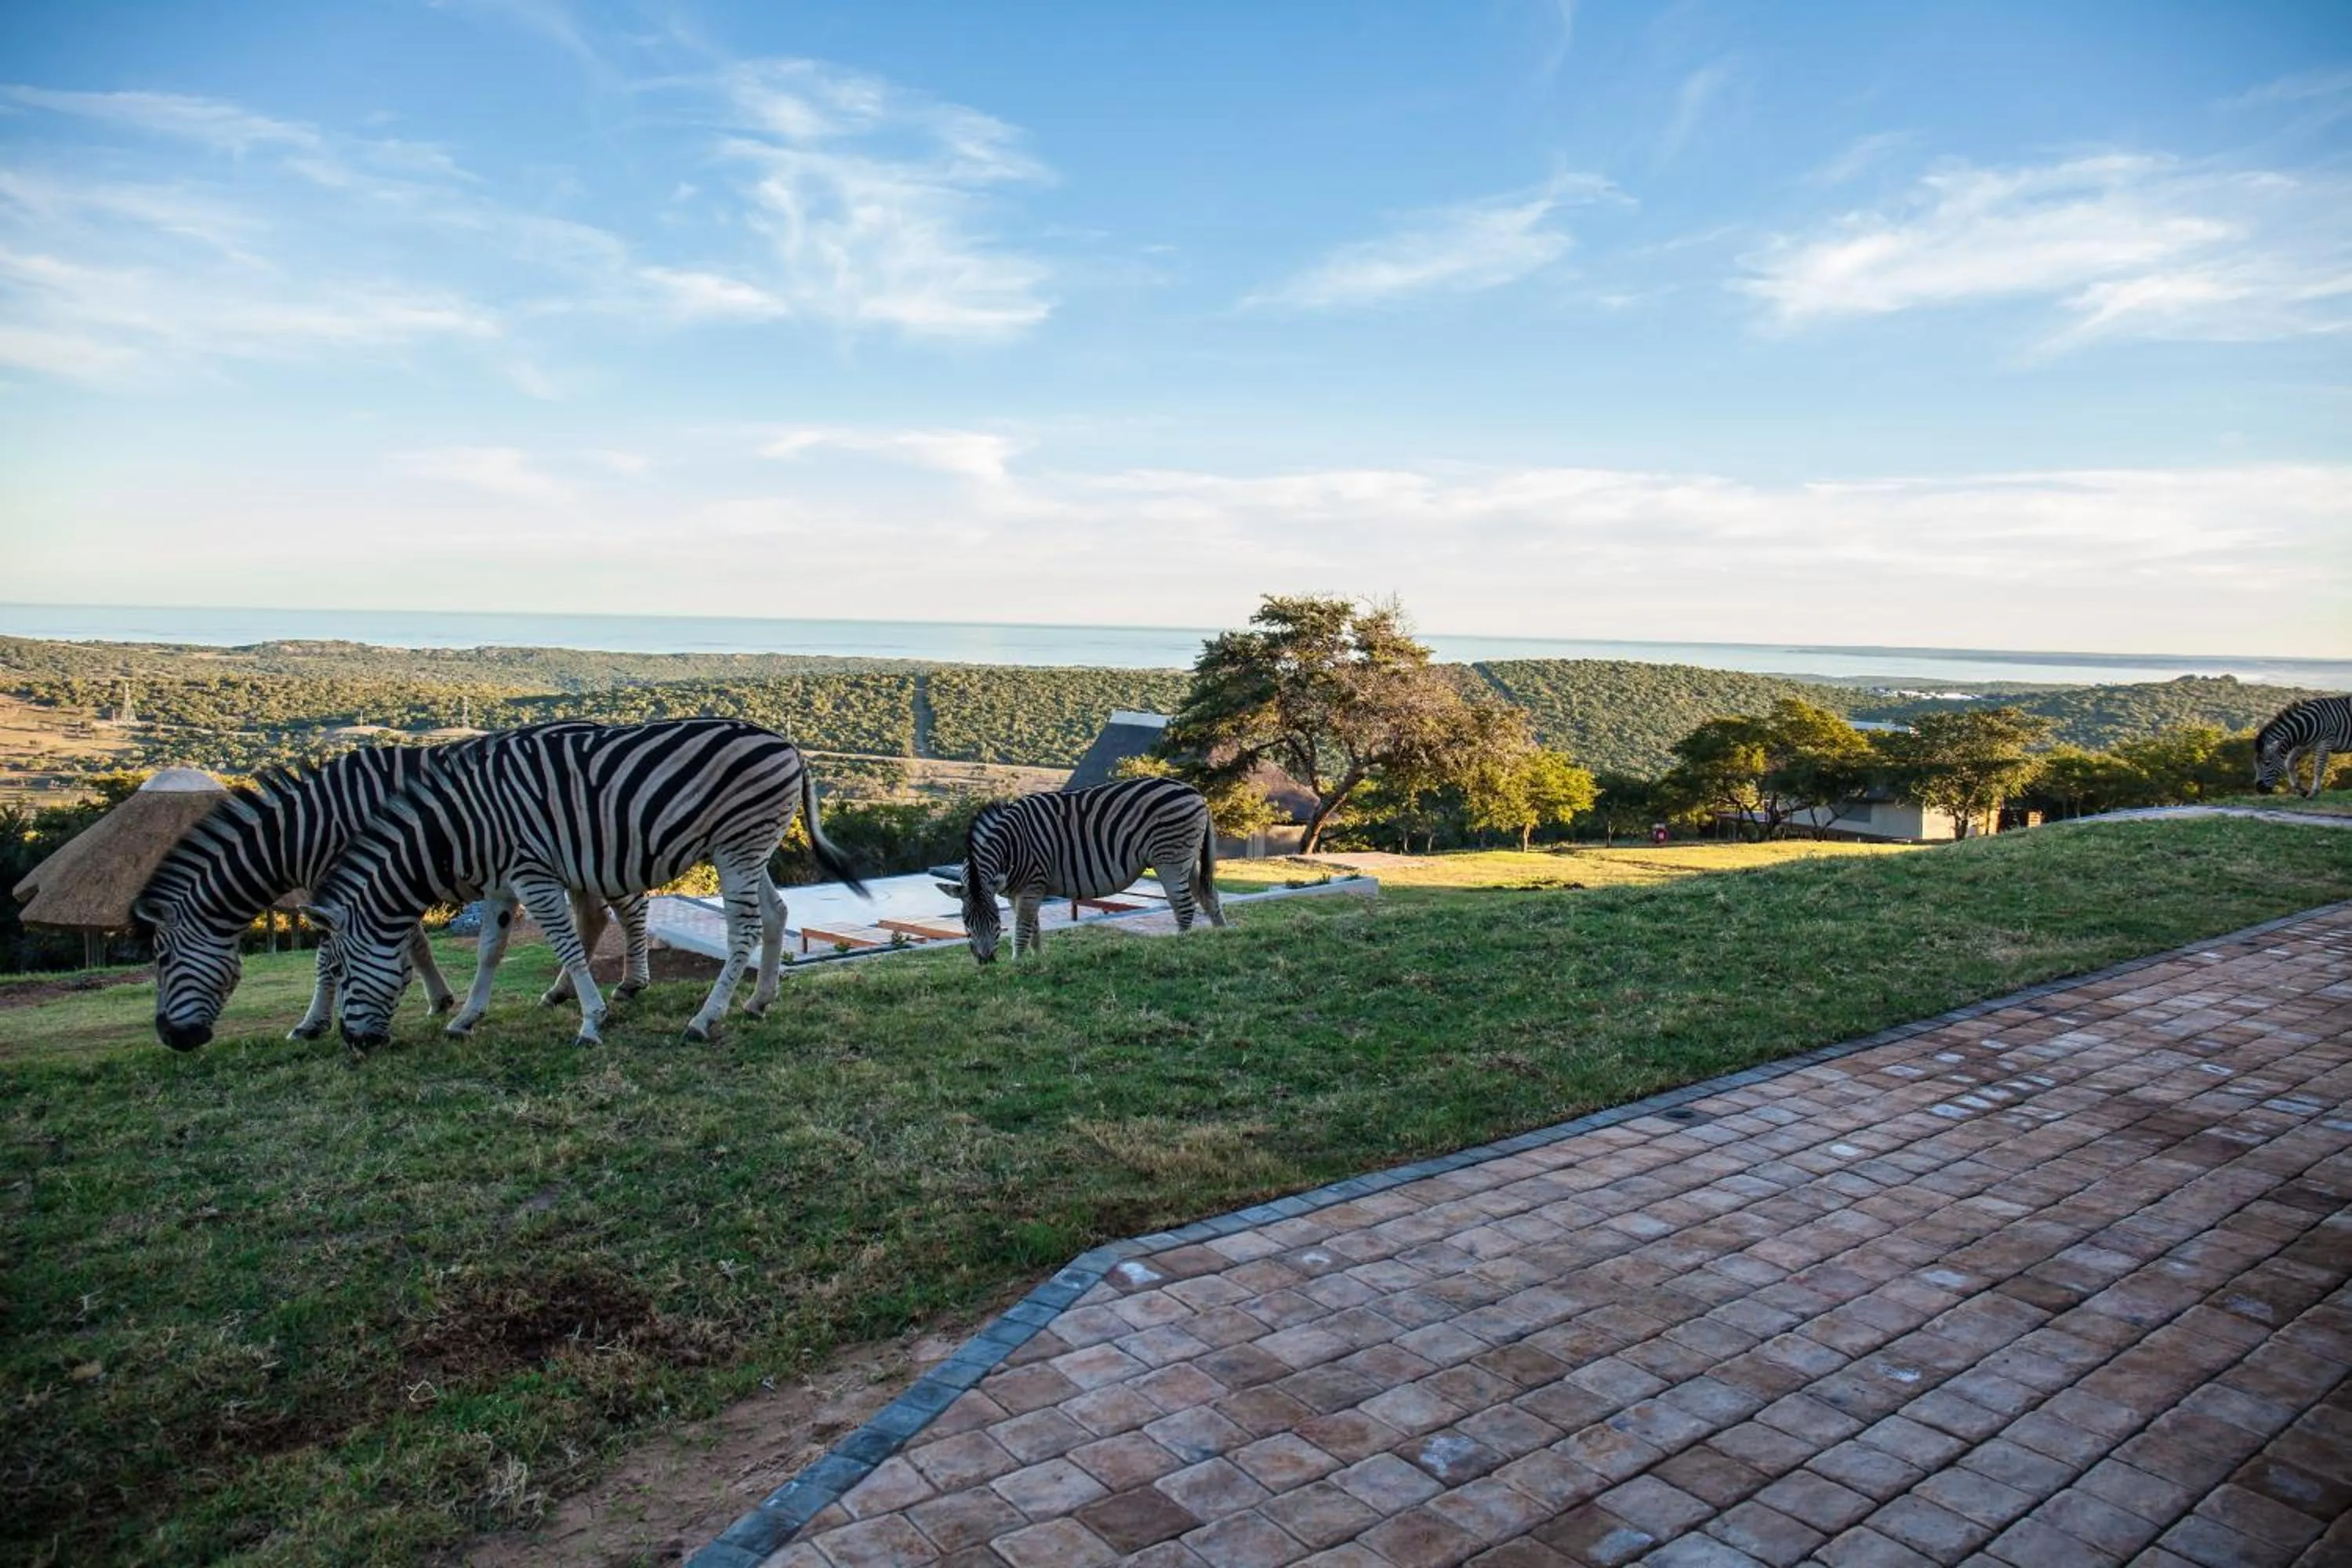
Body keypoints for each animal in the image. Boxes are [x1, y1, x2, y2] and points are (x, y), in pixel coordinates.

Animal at [133, 730, 651, 1051]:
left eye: (162, 959)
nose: (170, 1038)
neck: (309, 827)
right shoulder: (371, 886)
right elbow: (412, 943)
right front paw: (438, 999)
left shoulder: (346, 884)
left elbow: (328, 959)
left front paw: (313, 1022)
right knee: (594, 915)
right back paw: (561, 991)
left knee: (628, 906)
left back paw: (630, 983)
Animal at [304, 717, 863, 1050]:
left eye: (345, 973)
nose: (355, 1043)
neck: (462, 825)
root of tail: (788, 745)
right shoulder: (501, 886)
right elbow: (489, 950)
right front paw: (465, 1018)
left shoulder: (533, 874)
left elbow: (568, 947)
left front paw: (592, 1021)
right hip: (749, 848)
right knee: (775, 914)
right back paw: (758, 1001)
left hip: (738, 846)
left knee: (743, 929)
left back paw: (705, 1019)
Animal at [936, 777, 1225, 965]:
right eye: (966, 922)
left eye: (995, 920)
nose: (986, 962)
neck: (1010, 847)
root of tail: (1195, 793)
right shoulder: (1019, 891)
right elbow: (1033, 928)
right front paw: (1037, 960)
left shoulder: (1032, 885)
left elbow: (1022, 928)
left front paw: (1018, 964)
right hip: (1186, 859)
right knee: (1209, 897)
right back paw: (1222, 935)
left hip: (1170, 858)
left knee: (1184, 905)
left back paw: (1180, 947)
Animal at [2254, 695, 2352, 798]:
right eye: (2255, 765)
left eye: (2267, 763)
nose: (2259, 789)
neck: (2307, 725)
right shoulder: (2303, 746)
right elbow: (2289, 764)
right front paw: (2300, 790)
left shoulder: (2325, 743)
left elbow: (2318, 768)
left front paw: (2314, 792)